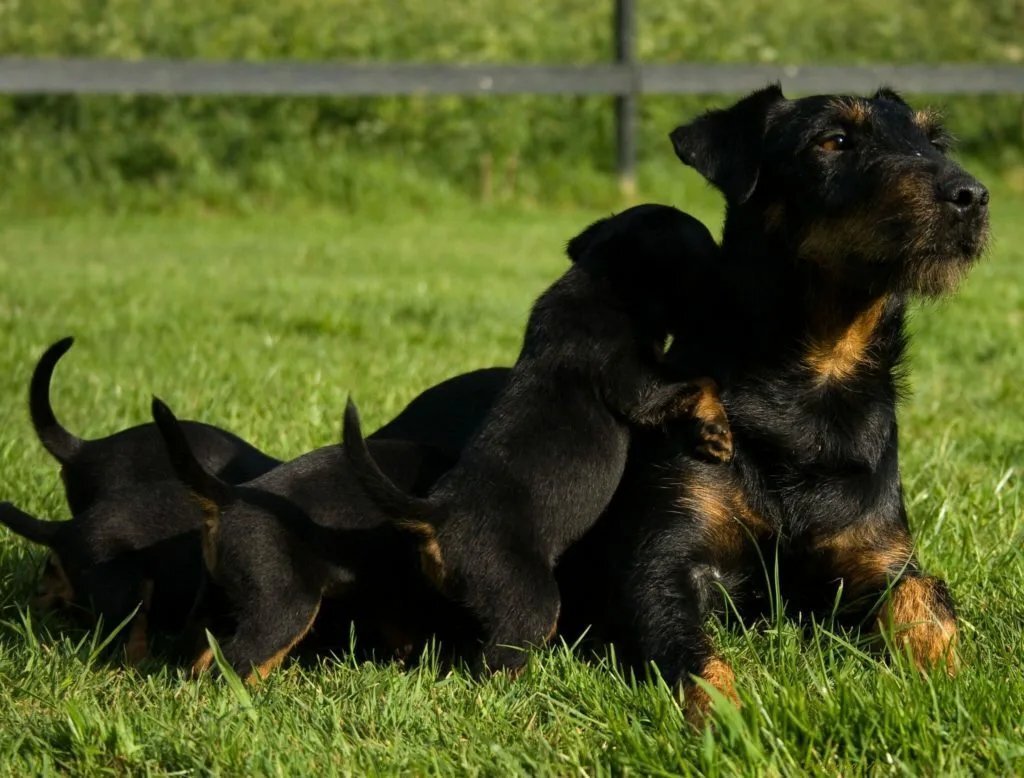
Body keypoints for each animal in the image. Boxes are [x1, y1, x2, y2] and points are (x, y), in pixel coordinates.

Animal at [565, 83, 987, 716]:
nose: (972, 195)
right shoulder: (661, 564)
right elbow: (695, 655)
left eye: (933, 141)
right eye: (833, 140)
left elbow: (925, 599)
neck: (811, 384)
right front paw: (730, 721)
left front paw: (949, 685)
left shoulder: (878, 554)